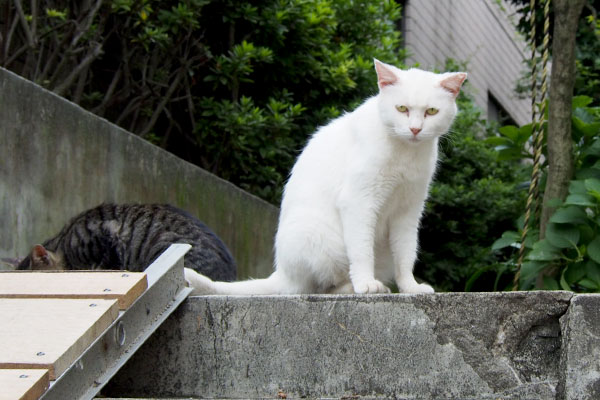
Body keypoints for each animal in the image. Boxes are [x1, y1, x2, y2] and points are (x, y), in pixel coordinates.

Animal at [185, 61, 466, 296]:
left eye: (431, 111)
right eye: (402, 108)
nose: (415, 129)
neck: (405, 153)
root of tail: (282, 273)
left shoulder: (409, 210)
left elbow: (406, 253)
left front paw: (410, 287)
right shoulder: (359, 202)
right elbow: (361, 251)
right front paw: (366, 284)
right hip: (319, 238)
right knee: (321, 285)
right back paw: (356, 287)